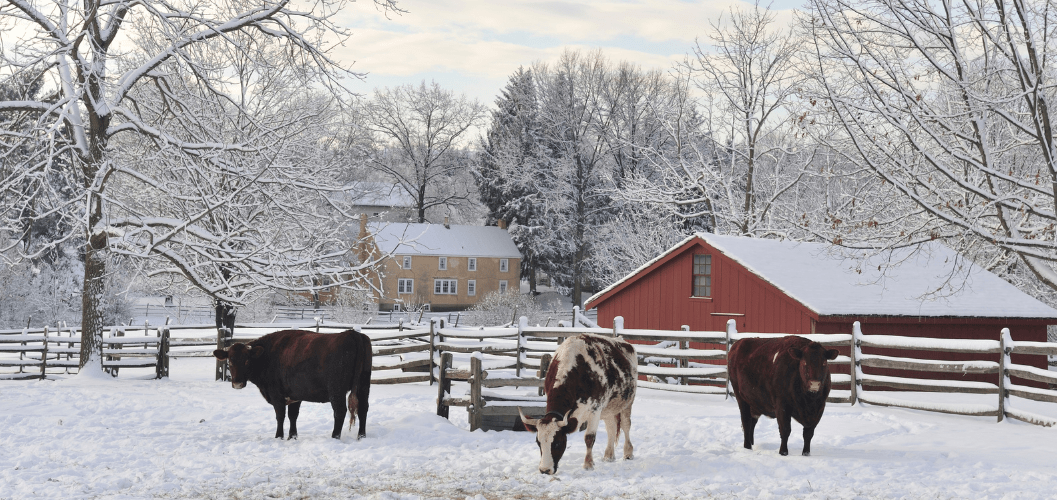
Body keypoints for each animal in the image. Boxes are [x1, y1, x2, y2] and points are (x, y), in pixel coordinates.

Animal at [210, 329, 372, 437]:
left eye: (247, 360)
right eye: (230, 361)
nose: (237, 383)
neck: (268, 354)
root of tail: (351, 333)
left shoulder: (276, 395)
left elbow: (280, 416)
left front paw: (279, 436)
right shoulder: (295, 395)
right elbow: (293, 416)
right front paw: (292, 436)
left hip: (336, 390)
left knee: (340, 411)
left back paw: (335, 436)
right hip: (364, 385)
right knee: (363, 408)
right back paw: (361, 435)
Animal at [517, 334, 634, 473]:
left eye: (557, 442)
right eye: (538, 442)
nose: (545, 470)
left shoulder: (595, 410)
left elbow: (589, 437)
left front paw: (588, 464)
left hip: (628, 403)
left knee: (626, 426)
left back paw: (628, 453)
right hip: (609, 409)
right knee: (611, 428)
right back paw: (608, 456)